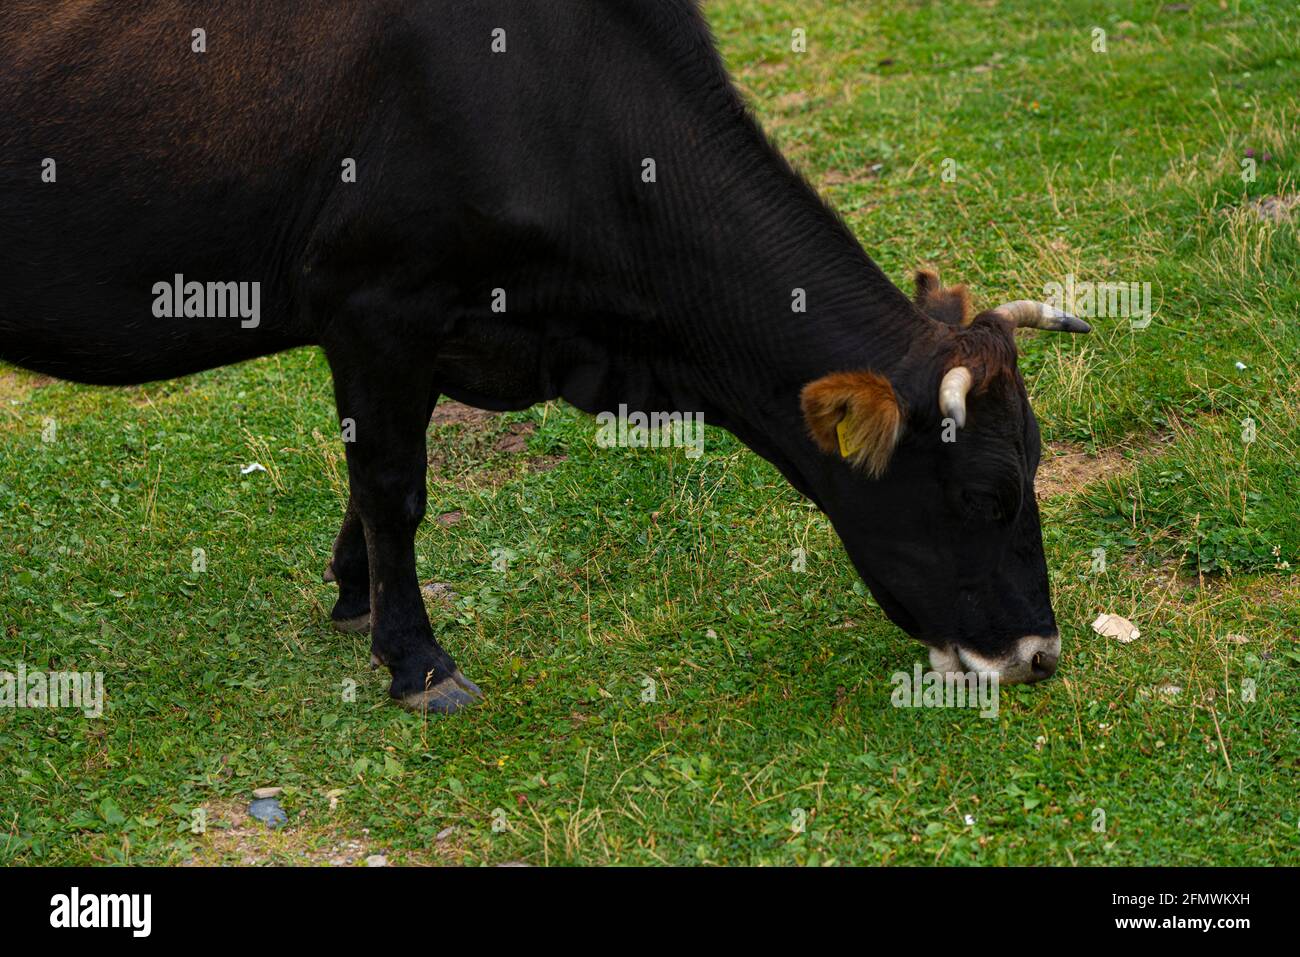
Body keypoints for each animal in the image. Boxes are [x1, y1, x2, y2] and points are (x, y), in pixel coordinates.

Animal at [0, 1, 1086, 712]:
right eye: (986, 495)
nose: (1040, 653)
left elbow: (364, 480)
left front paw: (352, 597)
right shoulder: (374, 306)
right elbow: (393, 486)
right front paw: (417, 661)